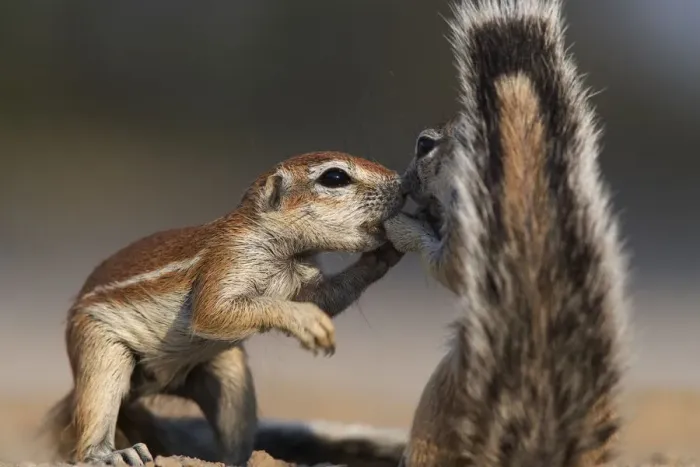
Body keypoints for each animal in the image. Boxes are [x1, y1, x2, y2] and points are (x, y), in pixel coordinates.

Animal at [40, 151, 406, 467]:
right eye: (335, 177)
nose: (403, 184)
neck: (288, 254)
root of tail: (160, 385)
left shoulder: (304, 282)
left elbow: (325, 298)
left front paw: (383, 255)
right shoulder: (227, 262)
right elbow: (214, 311)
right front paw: (307, 322)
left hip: (227, 374)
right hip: (99, 351)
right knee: (95, 409)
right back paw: (110, 455)